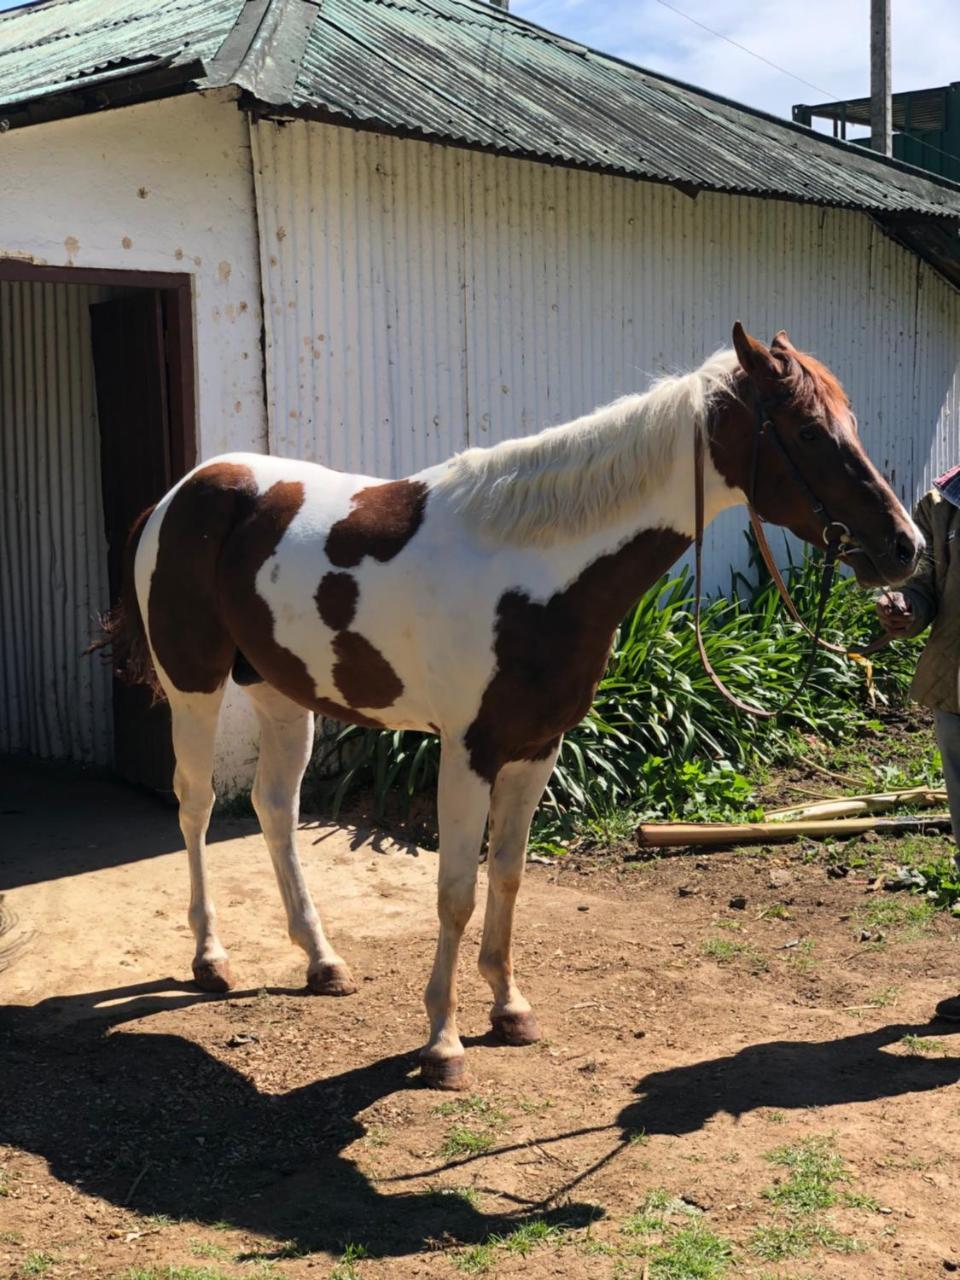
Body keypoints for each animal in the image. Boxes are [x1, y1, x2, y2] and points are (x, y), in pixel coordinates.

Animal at [99, 322, 926, 1090]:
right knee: (197, 806)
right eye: (809, 430)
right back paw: (210, 958)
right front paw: (442, 1043)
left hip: (281, 693)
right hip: (195, 687)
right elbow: (455, 892)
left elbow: (507, 875)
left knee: (275, 809)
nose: (906, 547)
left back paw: (322, 960)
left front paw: (509, 1008)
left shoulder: (538, 748)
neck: (534, 568)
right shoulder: (469, 750)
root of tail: (182, 492)